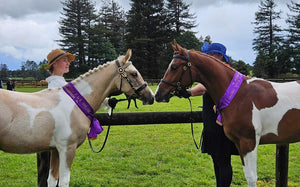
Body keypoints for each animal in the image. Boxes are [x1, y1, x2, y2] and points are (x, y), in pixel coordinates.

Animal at [0, 49, 154, 187]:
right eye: (134, 74)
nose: (150, 97)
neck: (75, 103)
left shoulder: (55, 150)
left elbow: (52, 180)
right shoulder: (67, 148)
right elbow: (63, 181)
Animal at [156, 41, 300, 187]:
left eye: (174, 67)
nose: (158, 94)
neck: (239, 95)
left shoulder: (249, 142)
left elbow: (251, 177)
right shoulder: (239, 143)